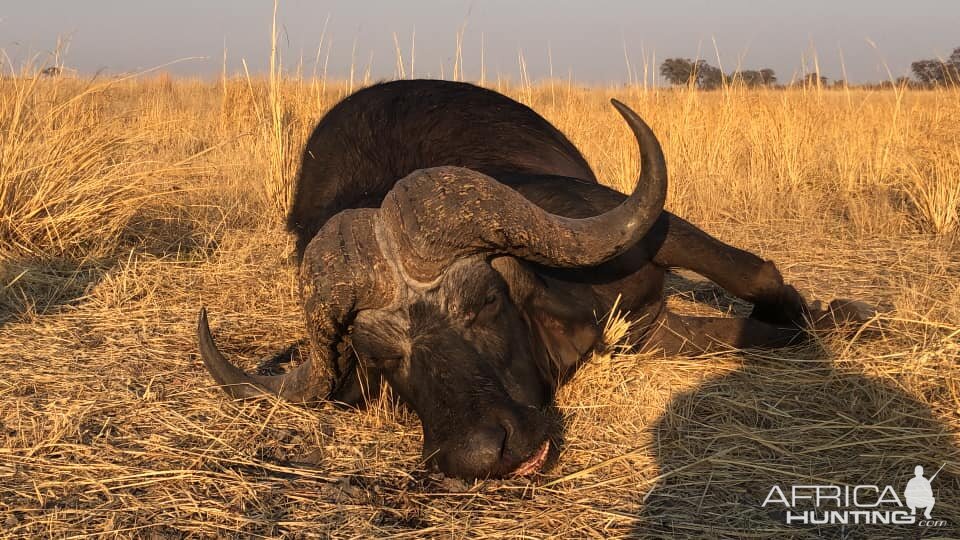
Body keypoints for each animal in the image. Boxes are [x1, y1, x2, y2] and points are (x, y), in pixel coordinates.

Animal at [195, 79, 872, 476]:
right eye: (382, 357)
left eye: (481, 304)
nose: (478, 457)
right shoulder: (649, 333)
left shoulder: (646, 230)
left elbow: (756, 273)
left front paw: (839, 316)